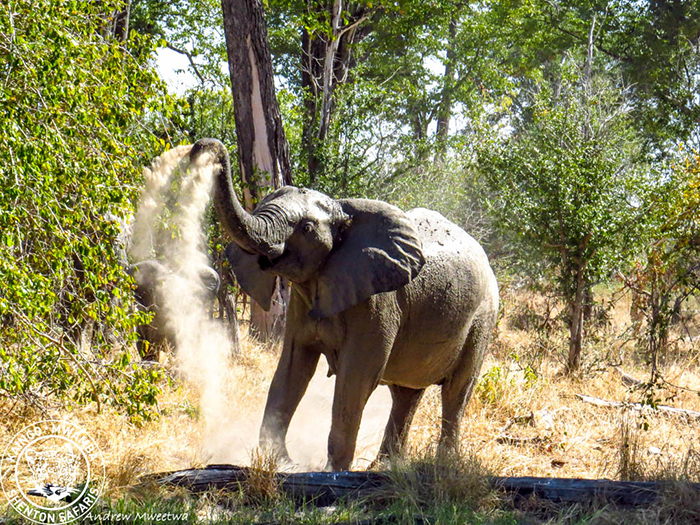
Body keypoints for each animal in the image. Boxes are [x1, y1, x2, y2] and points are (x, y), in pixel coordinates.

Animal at [189, 137, 500, 468]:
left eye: (306, 228)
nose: (201, 149)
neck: (342, 210)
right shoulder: (302, 301)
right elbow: (292, 368)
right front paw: (282, 463)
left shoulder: (378, 303)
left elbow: (356, 378)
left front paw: (331, 471)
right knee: (407, 393)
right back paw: (385, 467)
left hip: (483, 319)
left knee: (457, 390)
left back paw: (443, 465)